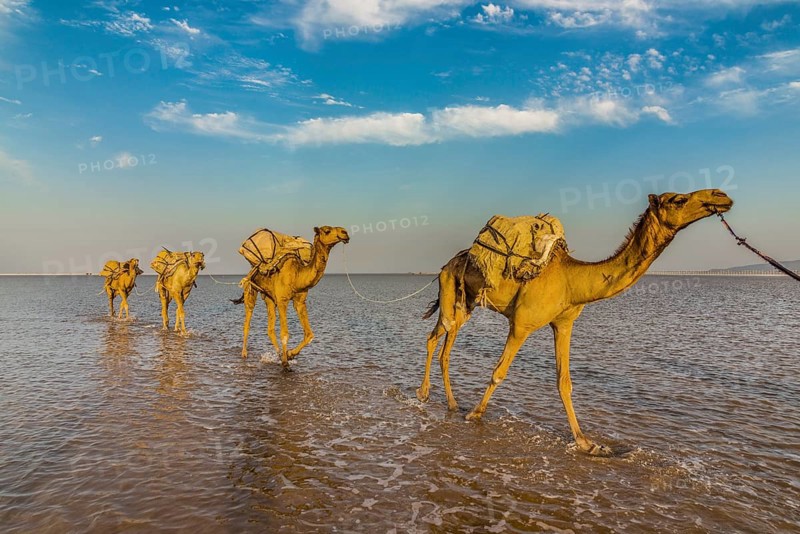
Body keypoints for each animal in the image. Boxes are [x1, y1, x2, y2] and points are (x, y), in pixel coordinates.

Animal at [232, 226, 350, 368]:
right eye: (327, 231)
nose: (345, 233)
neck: (296, 275)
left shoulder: (300, 301)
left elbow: (309, 334)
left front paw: (289, 354)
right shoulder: (282, 300)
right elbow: (284, 333)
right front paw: (285, 362)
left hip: (268, 297)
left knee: (270, 328)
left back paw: (279, 354)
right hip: (250, 289)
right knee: (247, 321)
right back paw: (244, 353)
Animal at [416, 189, 734, 456]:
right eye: (678, 200)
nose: (721, 196)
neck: (572, 281)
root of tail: (448, 263)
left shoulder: (564, 323)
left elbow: (564, 382)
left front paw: (587, 443)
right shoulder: (521, 324)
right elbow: (498, 373)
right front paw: (475, 414)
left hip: (466, 303)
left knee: (442, 342)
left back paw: (445, 400)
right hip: (450, 291)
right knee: (438, 339)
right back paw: (430, 396)